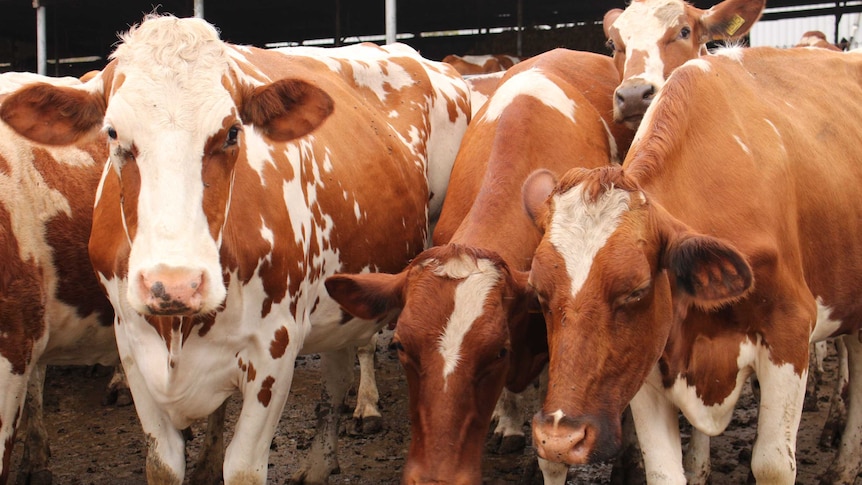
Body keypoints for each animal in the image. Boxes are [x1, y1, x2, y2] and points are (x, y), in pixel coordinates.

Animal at [1, 15, 472, 484]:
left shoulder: (275, 350)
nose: (175, 285)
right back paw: (319, 464)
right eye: (113, 133)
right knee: (335, 376)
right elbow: (162, 465)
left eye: (231, 132)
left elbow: (244, 467)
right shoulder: (133, 347)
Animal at [520, 45, 862, 484]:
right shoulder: (648, 360)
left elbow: (771, 464)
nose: (560, 439)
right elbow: (664, 471)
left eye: (637, 289)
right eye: (540, 293)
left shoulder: (789, 331)